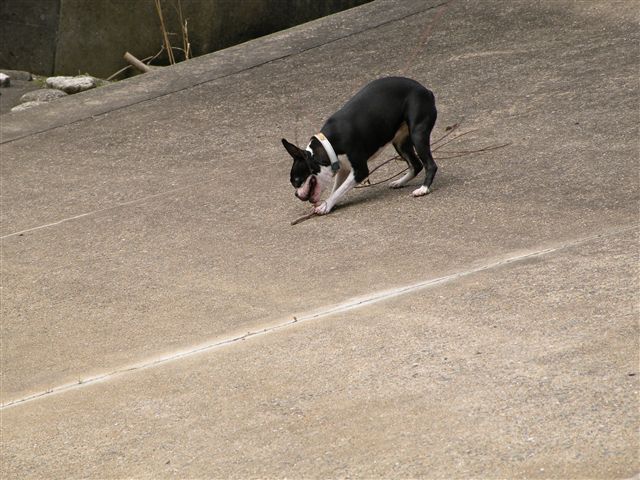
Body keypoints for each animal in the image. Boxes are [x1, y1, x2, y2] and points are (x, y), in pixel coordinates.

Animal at [282, 76, 437, 215]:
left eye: (297, 181)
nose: (296, 194)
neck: (328, 147)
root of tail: (426, 91)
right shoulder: (343, 168)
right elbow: (336, 189)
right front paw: (330, 203)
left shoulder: (360, 171)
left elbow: (340, 190)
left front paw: (325, 206)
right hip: (400, 142)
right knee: (416, 164)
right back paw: (399, 182)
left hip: (418, 134)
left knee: (430, 165)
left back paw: (423, 189)